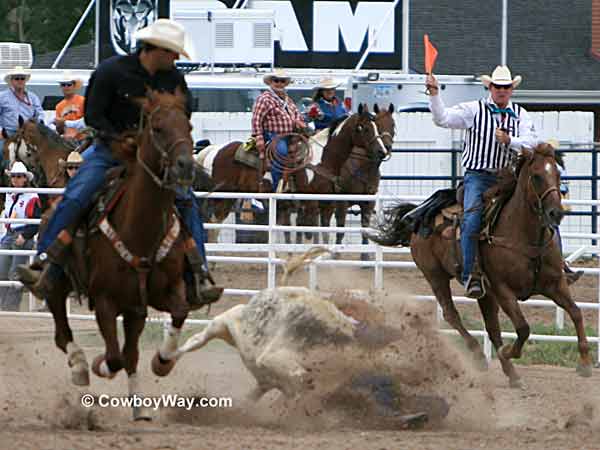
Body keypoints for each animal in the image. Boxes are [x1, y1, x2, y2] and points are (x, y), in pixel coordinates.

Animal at [38, 89, 198, 420]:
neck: (140, 230)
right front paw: (98, 365)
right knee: (62, 332)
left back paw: (139, 407)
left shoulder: (156, 296)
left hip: (134, 309)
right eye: (158, 128)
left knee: (130, 352)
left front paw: (162, 361)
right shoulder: (104, 301)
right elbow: (114, 357)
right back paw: (80, 369)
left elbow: (176, 315)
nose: (186, 166)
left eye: (188, 126)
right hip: (57, 287)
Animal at [368, 145, 592, 386]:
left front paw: (585, 363)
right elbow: (523, 328)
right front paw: (507, 352)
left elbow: (576, 312)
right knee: (452, 315)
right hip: (435, 275)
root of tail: (418, 217)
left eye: (558, 175)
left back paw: (511, 374)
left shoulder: (555, 284)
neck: (523, 235)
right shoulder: (503, 290)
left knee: (492, 328)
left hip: (485, 292)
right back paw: (479, 356)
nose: (556, 213)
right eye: (536, 176)